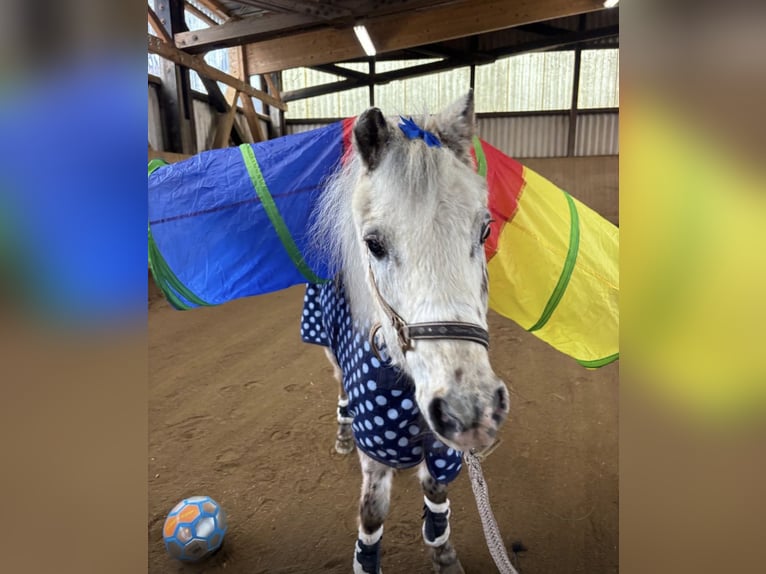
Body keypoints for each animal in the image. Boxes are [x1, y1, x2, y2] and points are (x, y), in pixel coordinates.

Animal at [301, 91, 510, 574]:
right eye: (374, 244)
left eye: (485, 229)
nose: (469, 410)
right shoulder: (377, 448)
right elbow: (372, 515)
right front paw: (366, 561)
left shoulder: (442, 446)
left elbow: (435, 493)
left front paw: (443, 553)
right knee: (340, 387)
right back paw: (342, 433)